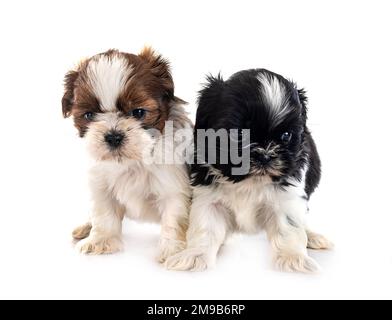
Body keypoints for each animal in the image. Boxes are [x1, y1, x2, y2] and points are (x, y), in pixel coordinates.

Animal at [62, 48, 194, 262]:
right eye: (89, 115)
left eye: (138, 112)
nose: (113, 136)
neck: (132, 161)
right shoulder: (101, 184)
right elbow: (103, 214)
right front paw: (100, 240)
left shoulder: (173, 186)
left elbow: (174, 218)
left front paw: (172, 250)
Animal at [167, 68, 332, 272]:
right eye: (238, 134)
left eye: (286, 136)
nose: (265, 155)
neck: (248, 182)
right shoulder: (208, 198)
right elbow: (206, 228)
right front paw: (195, 255)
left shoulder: (287, 198)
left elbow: (288, 227)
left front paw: (293, 258)